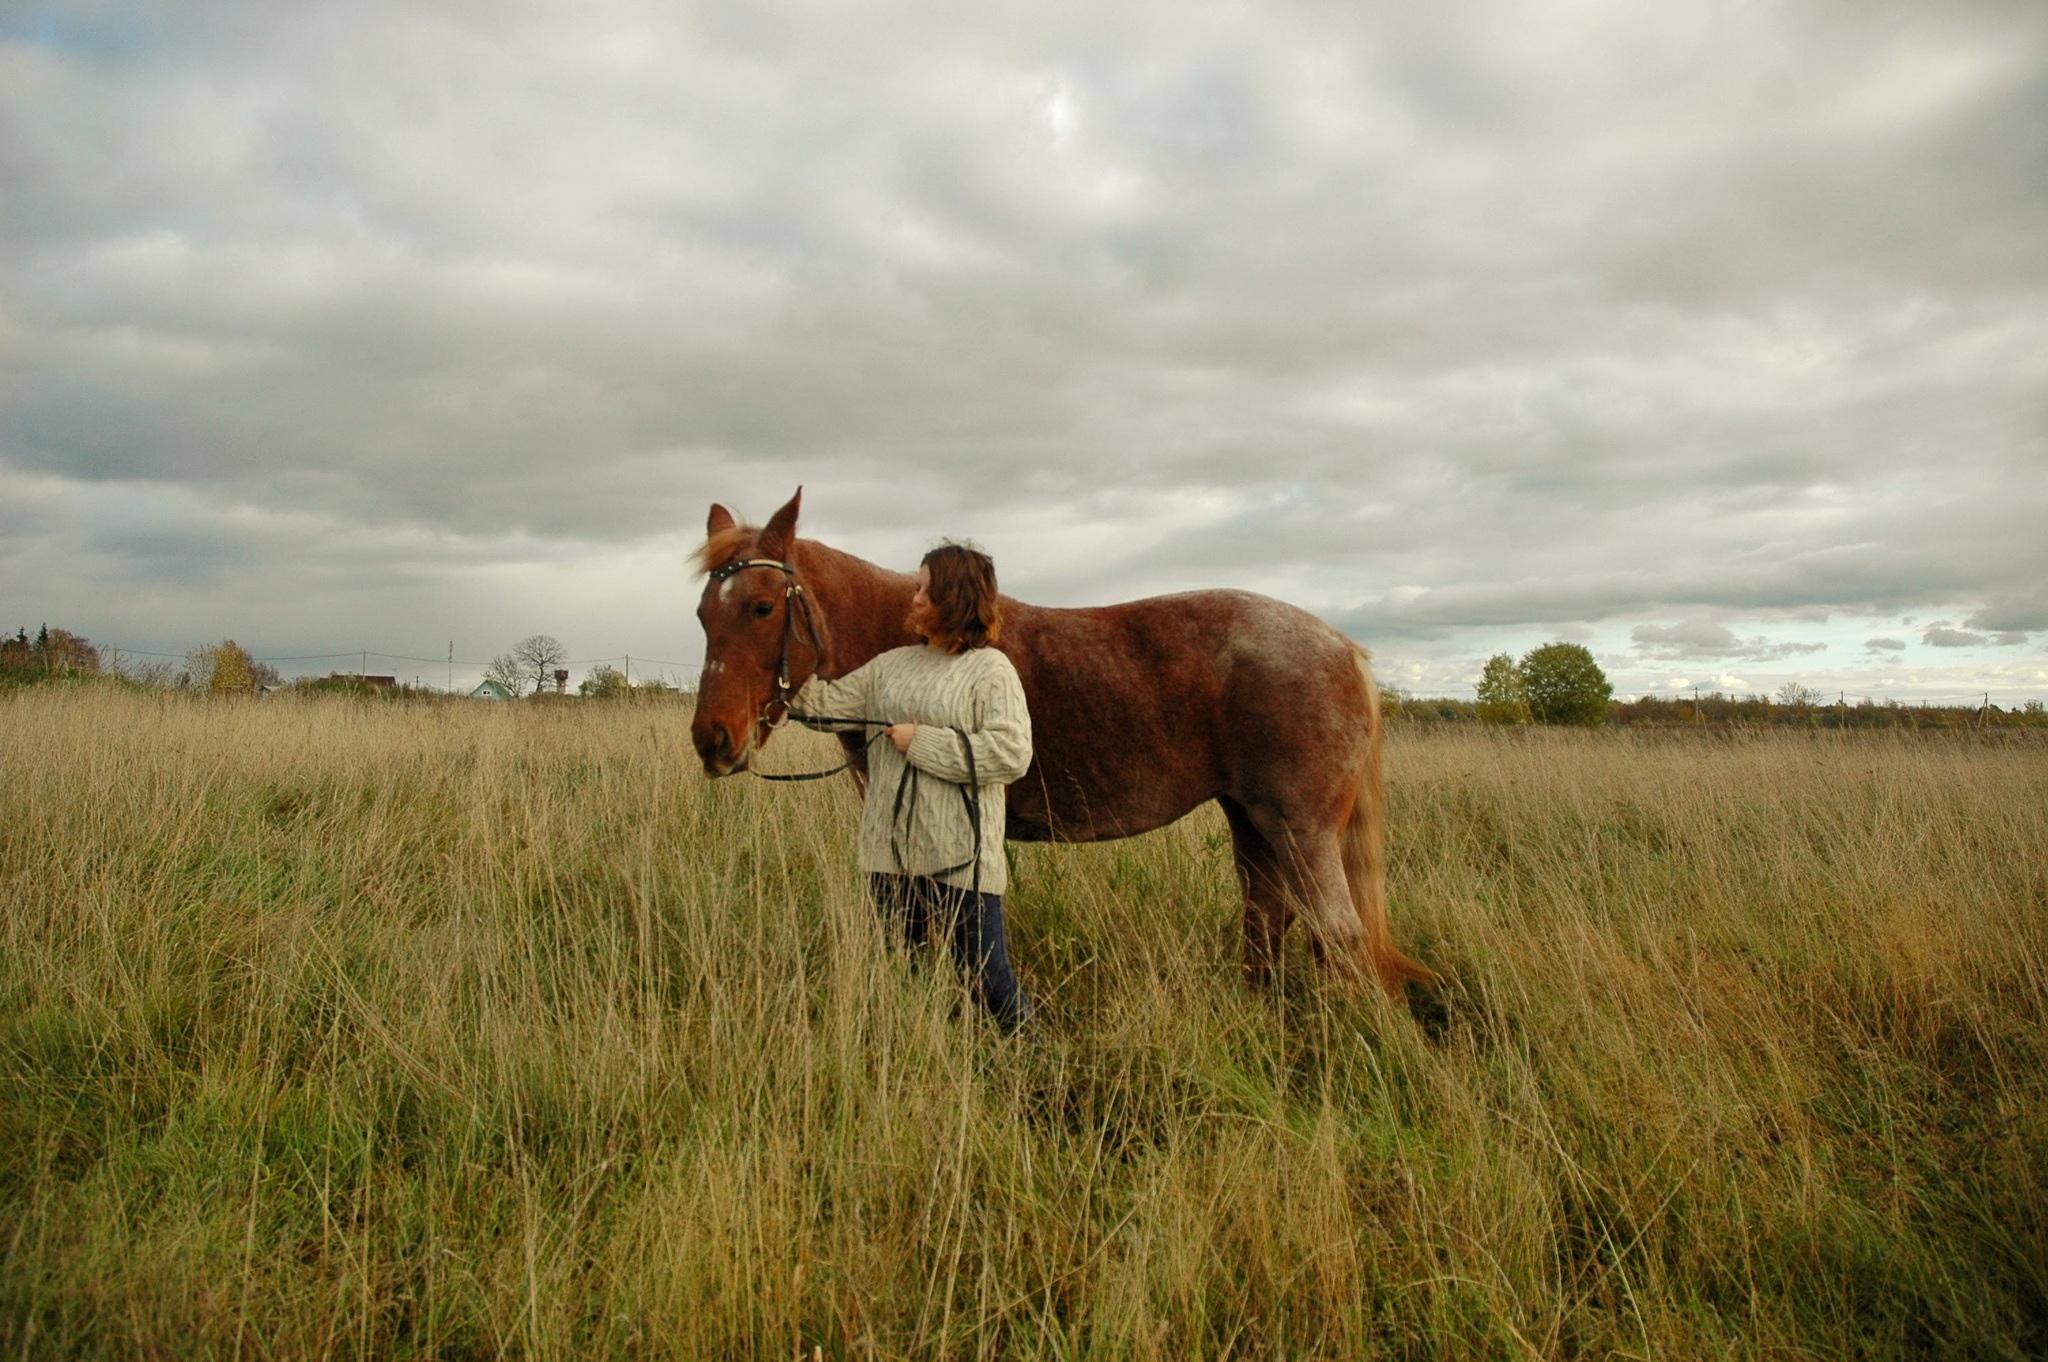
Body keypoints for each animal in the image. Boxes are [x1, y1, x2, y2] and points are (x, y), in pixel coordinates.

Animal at [688, 485, 1425, 987]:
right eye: (700, 614)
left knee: (1339, 939)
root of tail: (1344, 648)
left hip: (1301, 830)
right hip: (1252, 821)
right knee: (1267, 918)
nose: (713, 740)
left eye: (761, 607)